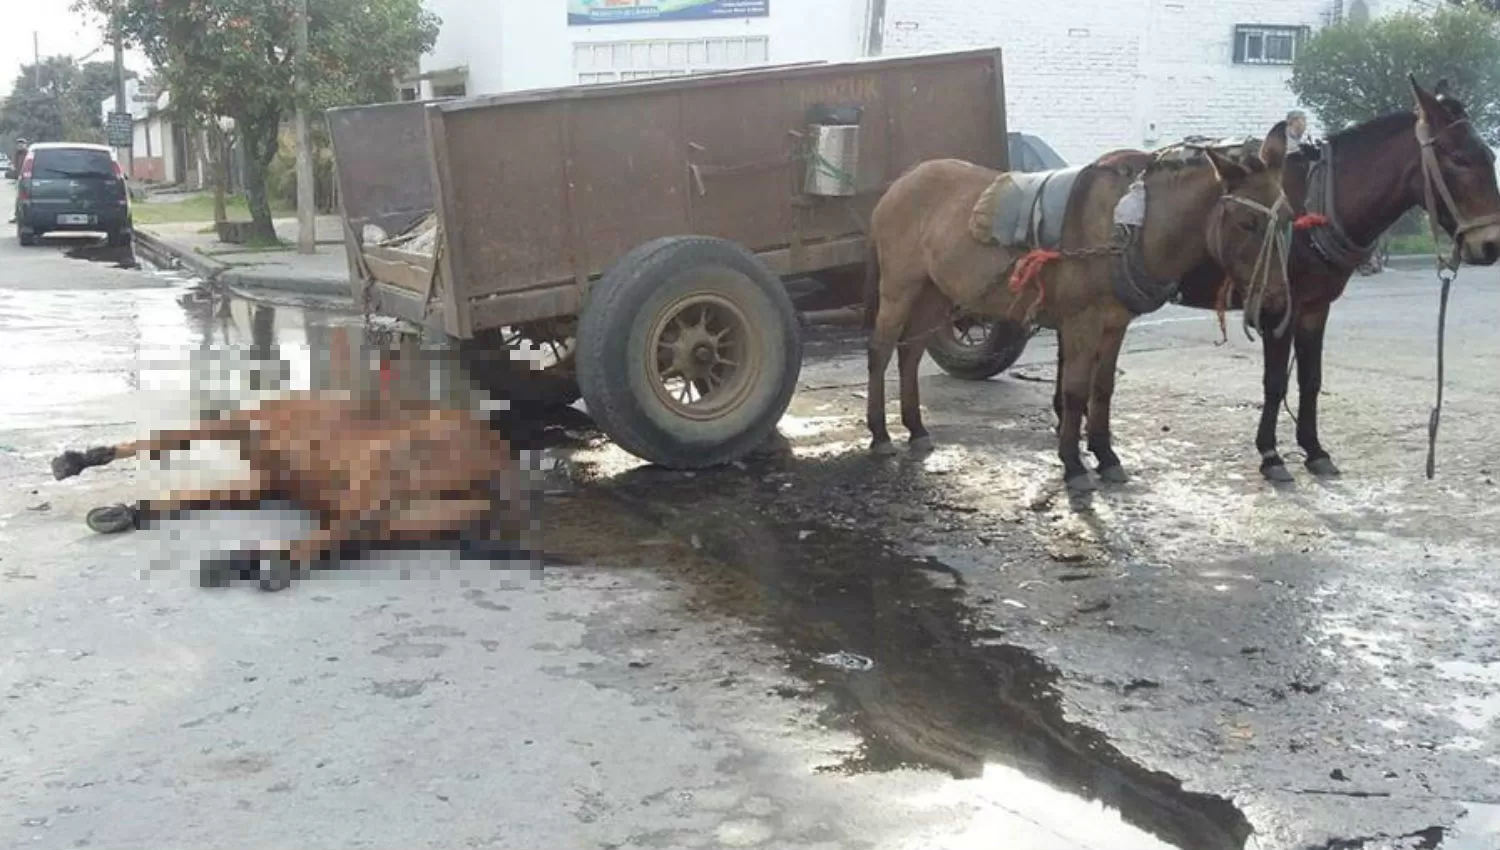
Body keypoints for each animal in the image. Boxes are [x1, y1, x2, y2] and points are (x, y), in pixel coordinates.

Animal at [49, 392, 537, 587]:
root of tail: (500, 459)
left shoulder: (240, 425)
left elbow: (168, 435)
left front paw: (80, 459)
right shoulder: (261, 483)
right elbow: (195, 492)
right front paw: (129, 509)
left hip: (386, 466)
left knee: (342, 530)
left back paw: (259, 565)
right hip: (414, 516)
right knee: (347, 536)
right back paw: (242, 561)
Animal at [1152, 77, 1494, 482]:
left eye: (1490, 155)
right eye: (1458, 158)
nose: (1491, 244)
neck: (1312, 205)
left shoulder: (1314, 308)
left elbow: (1311, 380)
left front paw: (1314, 449)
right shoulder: (1278, 308)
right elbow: (1275, 382)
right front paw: (1271, 454)